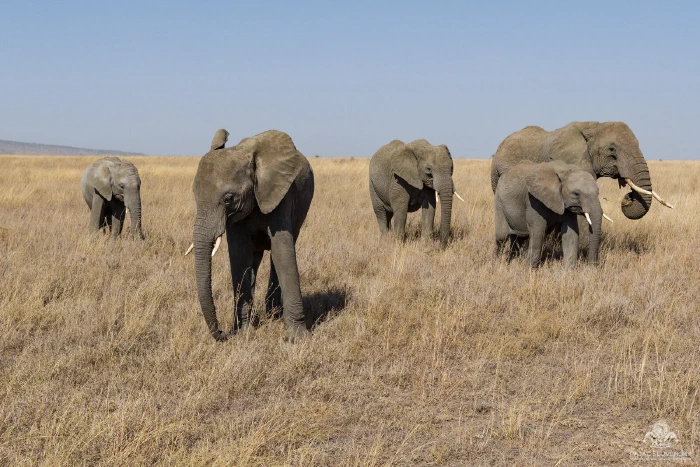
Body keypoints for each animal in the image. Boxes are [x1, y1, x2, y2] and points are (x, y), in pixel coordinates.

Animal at [191, 129, 314, 342]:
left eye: (228, 199)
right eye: (195, 196)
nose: (223, 333)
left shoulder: (281, 194)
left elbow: (282, 252)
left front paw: (298, 339)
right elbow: (240, 256)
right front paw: (242, 331)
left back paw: (274, 314)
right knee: (254, 258)